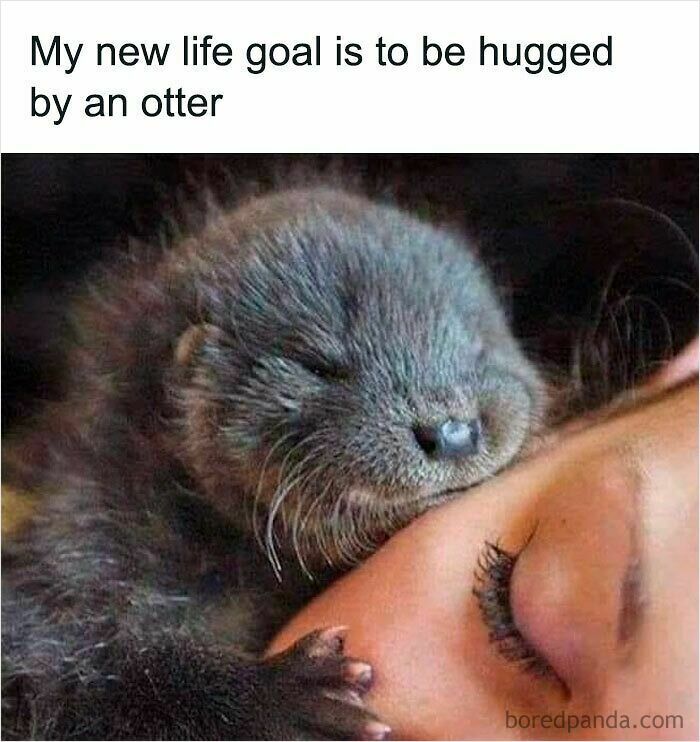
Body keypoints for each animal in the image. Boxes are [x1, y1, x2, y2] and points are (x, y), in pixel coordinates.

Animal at [2, 187, 544, 739]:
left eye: (478, 347)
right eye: (319, 365)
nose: (451, 430)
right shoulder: (76, 557)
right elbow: (96, 679)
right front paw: (284, 694)